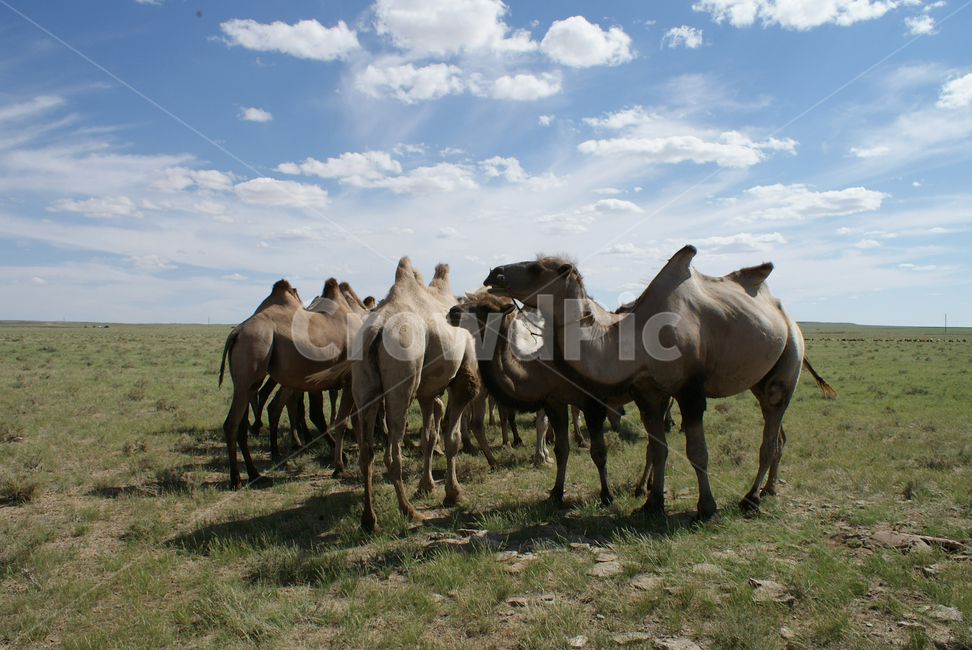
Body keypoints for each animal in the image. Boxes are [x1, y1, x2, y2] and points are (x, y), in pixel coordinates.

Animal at [218, 278, 362, 488]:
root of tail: (236, 332)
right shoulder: (350, 379)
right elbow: (344, 420)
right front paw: (341, 465)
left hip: (246, 381)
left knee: (243, 423)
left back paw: (254, 473)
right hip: (252, 356)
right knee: (232, 424)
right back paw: (236, 479)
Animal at [351, 258, 491, 532]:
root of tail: (376, 330)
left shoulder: (426, 392)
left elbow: (428, 438)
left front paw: (427, 486)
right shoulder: (463, 380)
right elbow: (452, 438)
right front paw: (453, 493)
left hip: (364, 385)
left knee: (366, 453)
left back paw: (369, 520)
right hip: (402, 377)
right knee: (393, 452)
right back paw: (409, 511)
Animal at [484, 245, 835, 519]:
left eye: (536, 268)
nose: (493, 274)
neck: (636, 337)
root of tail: (785, 314)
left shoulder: (690, 390)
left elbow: (697, 451)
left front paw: (706, 508)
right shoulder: (648, 391)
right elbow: (658, 448)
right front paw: (652, 502)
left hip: (790, 357)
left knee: (771, 432)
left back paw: (751, 498)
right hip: (760, 380)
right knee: (777, 432)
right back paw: (768, 489)